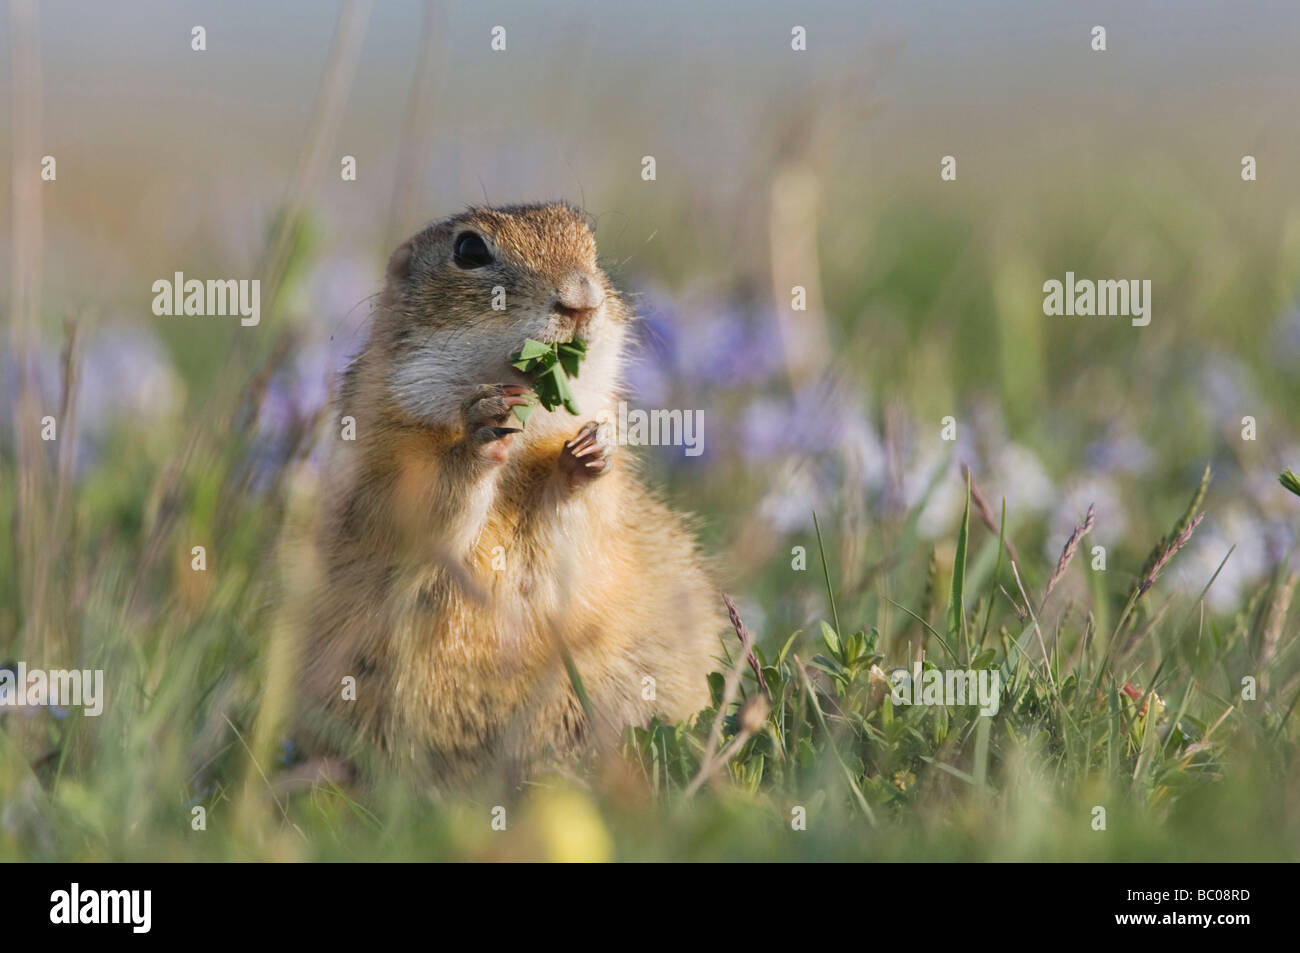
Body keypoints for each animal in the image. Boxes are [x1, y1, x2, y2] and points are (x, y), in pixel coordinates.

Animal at [301, 200, 733, 780]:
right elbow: (422, 514)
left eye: (589, 243)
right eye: (469, 250)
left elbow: (578, 528)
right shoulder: (382, 455)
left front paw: (589, 454)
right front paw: (483, 429)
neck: (525, 440)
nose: (581, 299)